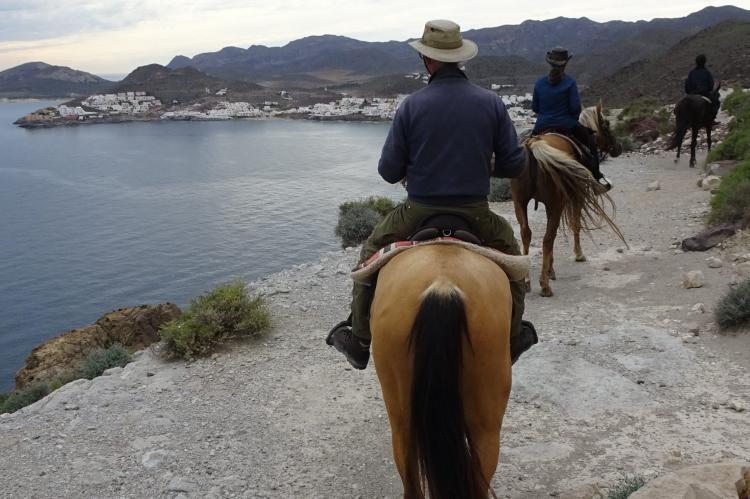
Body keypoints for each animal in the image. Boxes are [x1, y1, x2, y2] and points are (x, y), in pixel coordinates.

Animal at [512, 102, 628, 296]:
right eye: (606, 125)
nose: (618, 148)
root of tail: (535, 145)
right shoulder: (575, 197)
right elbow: (576, 224)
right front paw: (578, 254)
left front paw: (550, 269)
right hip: (555, 203)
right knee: (548, 238)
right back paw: (544, 285)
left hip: (519, 202)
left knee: (526, 233)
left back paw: (527, 280)